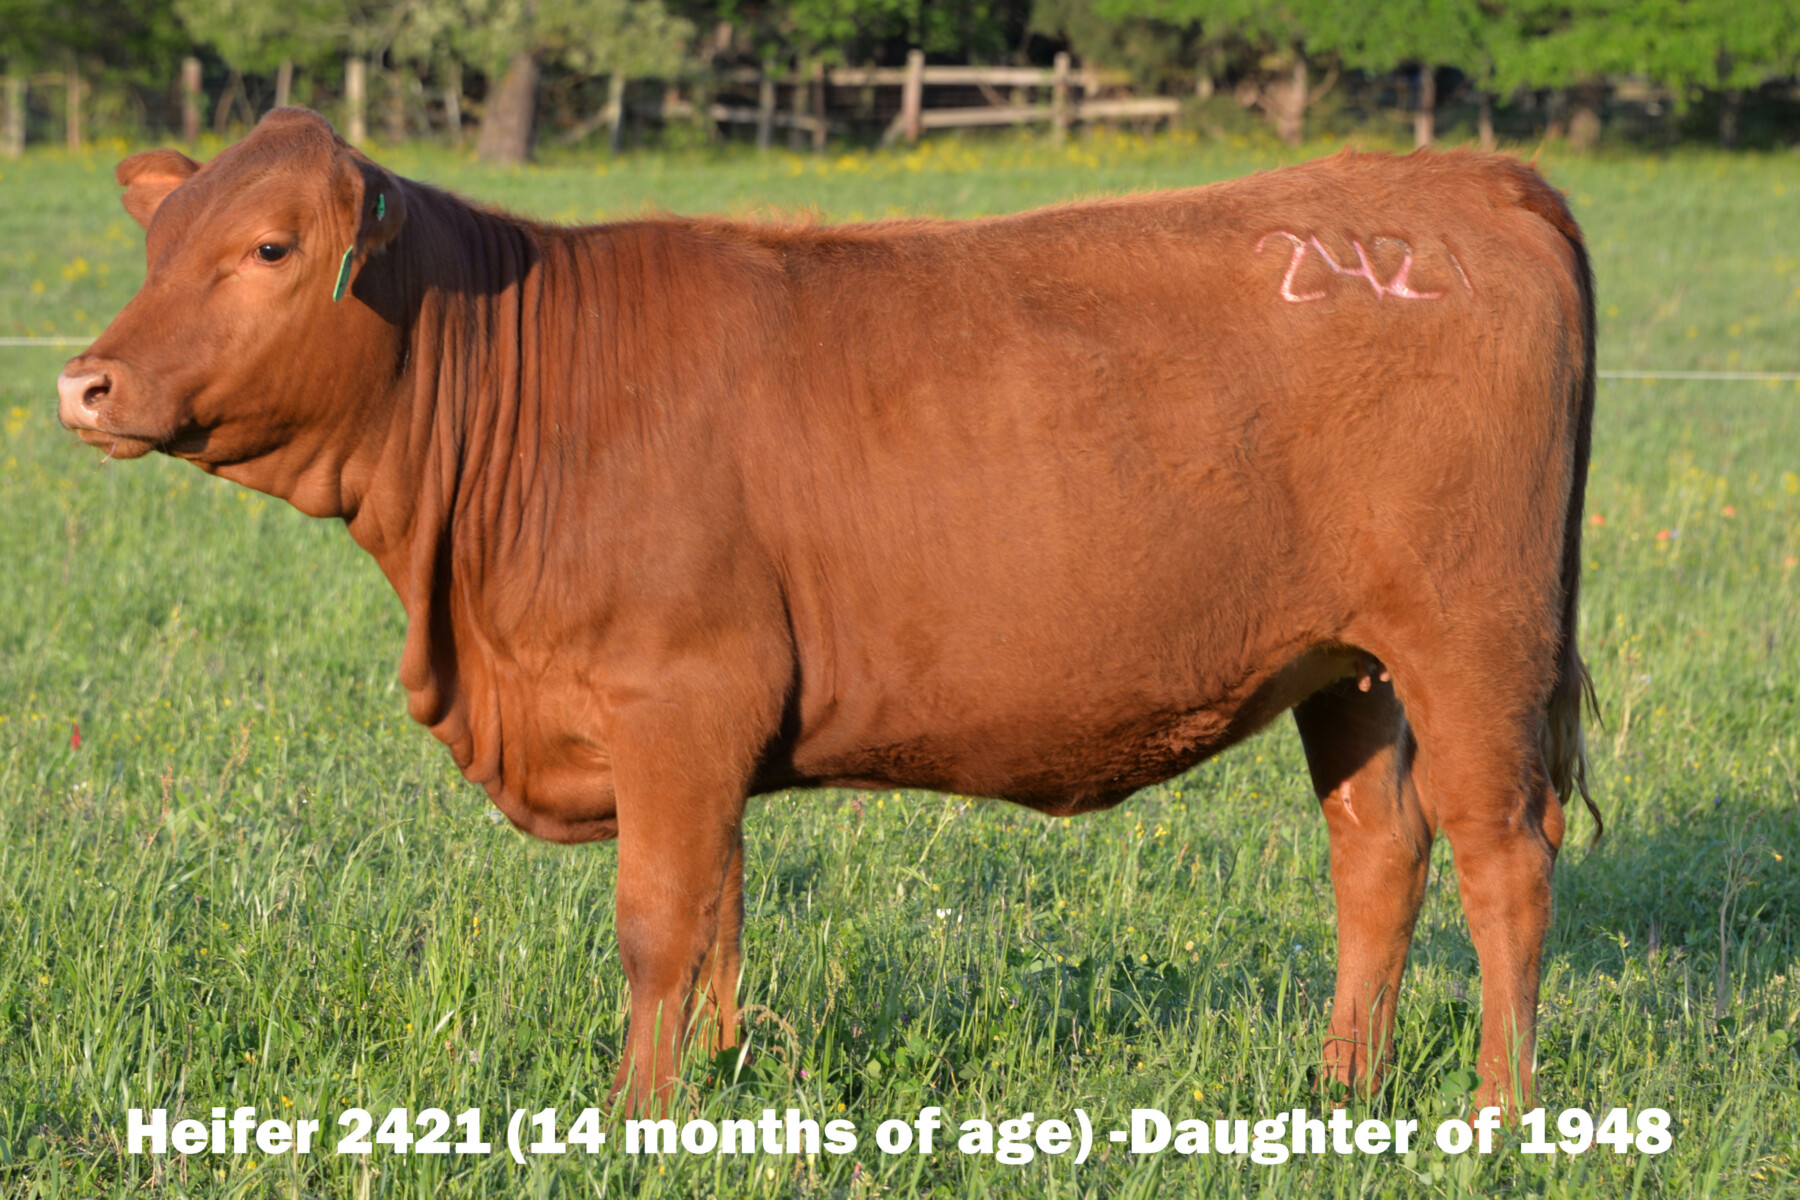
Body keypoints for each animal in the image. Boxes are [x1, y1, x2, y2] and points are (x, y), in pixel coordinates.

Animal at [57, 108, 1596, 1115]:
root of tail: (1461, 177)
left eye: (268, 248)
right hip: (1354, 665)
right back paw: (1343, 1090)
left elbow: (659, 916)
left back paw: (1495, 1116)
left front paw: (636, 1117)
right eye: (155, 242)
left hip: (1476, 636)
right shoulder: (700, 730)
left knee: (1505, 860)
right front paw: (716, 1078)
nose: (85, 383)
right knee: (1378, 855)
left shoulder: (676, 694)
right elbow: (721, 909)